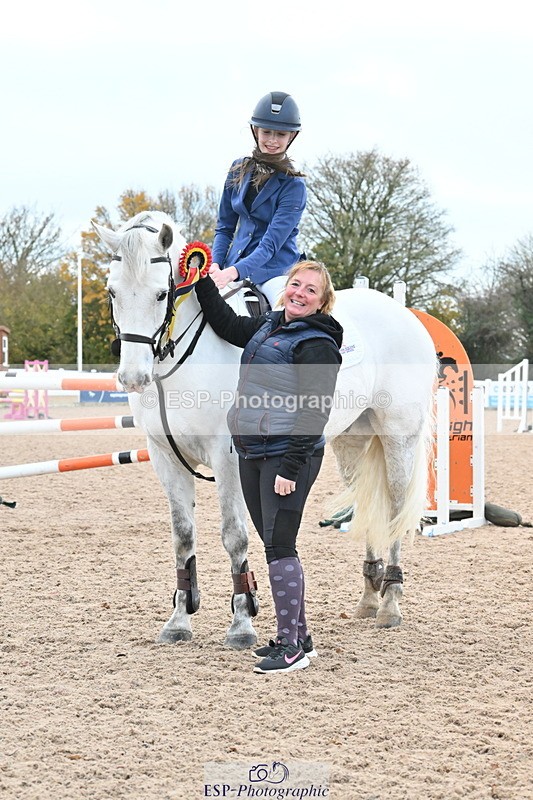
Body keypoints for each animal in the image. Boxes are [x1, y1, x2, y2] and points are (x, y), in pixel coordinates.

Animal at [93, 210, 437, 644]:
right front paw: (179, 621)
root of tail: (404, 313)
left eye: (159, 294)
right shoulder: (164, 456)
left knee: (394, 506)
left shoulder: (227, 457)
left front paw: (242, 624)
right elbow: (183, 536)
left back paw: (390, 602)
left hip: (398, 435)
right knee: (365, 500)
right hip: (352, 440)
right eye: (112, 292)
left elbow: (234, 535)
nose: (133, 378)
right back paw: (369, 598)